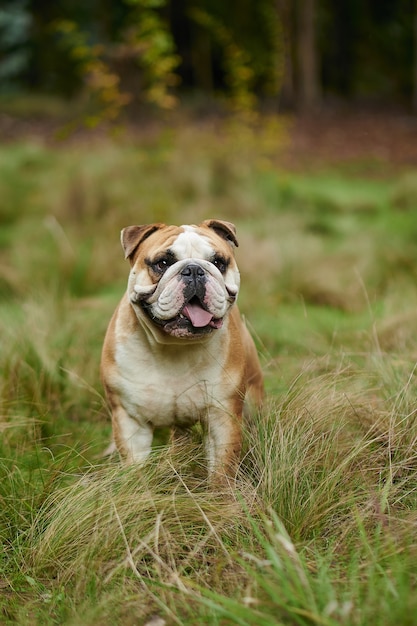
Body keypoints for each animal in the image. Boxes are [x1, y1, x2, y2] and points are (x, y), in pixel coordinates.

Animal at [101, 217, 264, 480]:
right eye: (163, 263)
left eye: (218, 262)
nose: (195, 270)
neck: (174, 346)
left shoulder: (222, 418)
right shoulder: (131, 421)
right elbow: (136, 470)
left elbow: (221, 472)